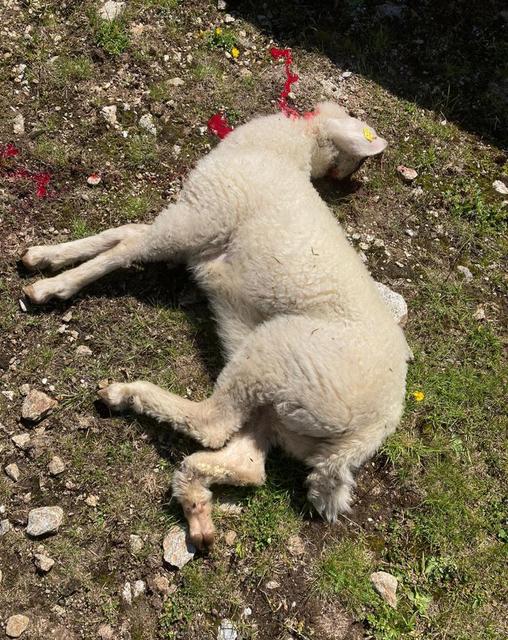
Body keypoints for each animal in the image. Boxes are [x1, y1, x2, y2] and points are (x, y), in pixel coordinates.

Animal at [21, 102, 410, 548]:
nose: (342, 178)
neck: (281, 149)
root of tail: (366, 434)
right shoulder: (188, 232)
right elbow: (119, 233)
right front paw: (45, 255)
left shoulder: (196, 220)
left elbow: (123, 250)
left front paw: (52, 286)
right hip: (287, 407)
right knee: (248, 464)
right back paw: (196, 507)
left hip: (282, 352)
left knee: (211, 424)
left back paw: (126, 395)